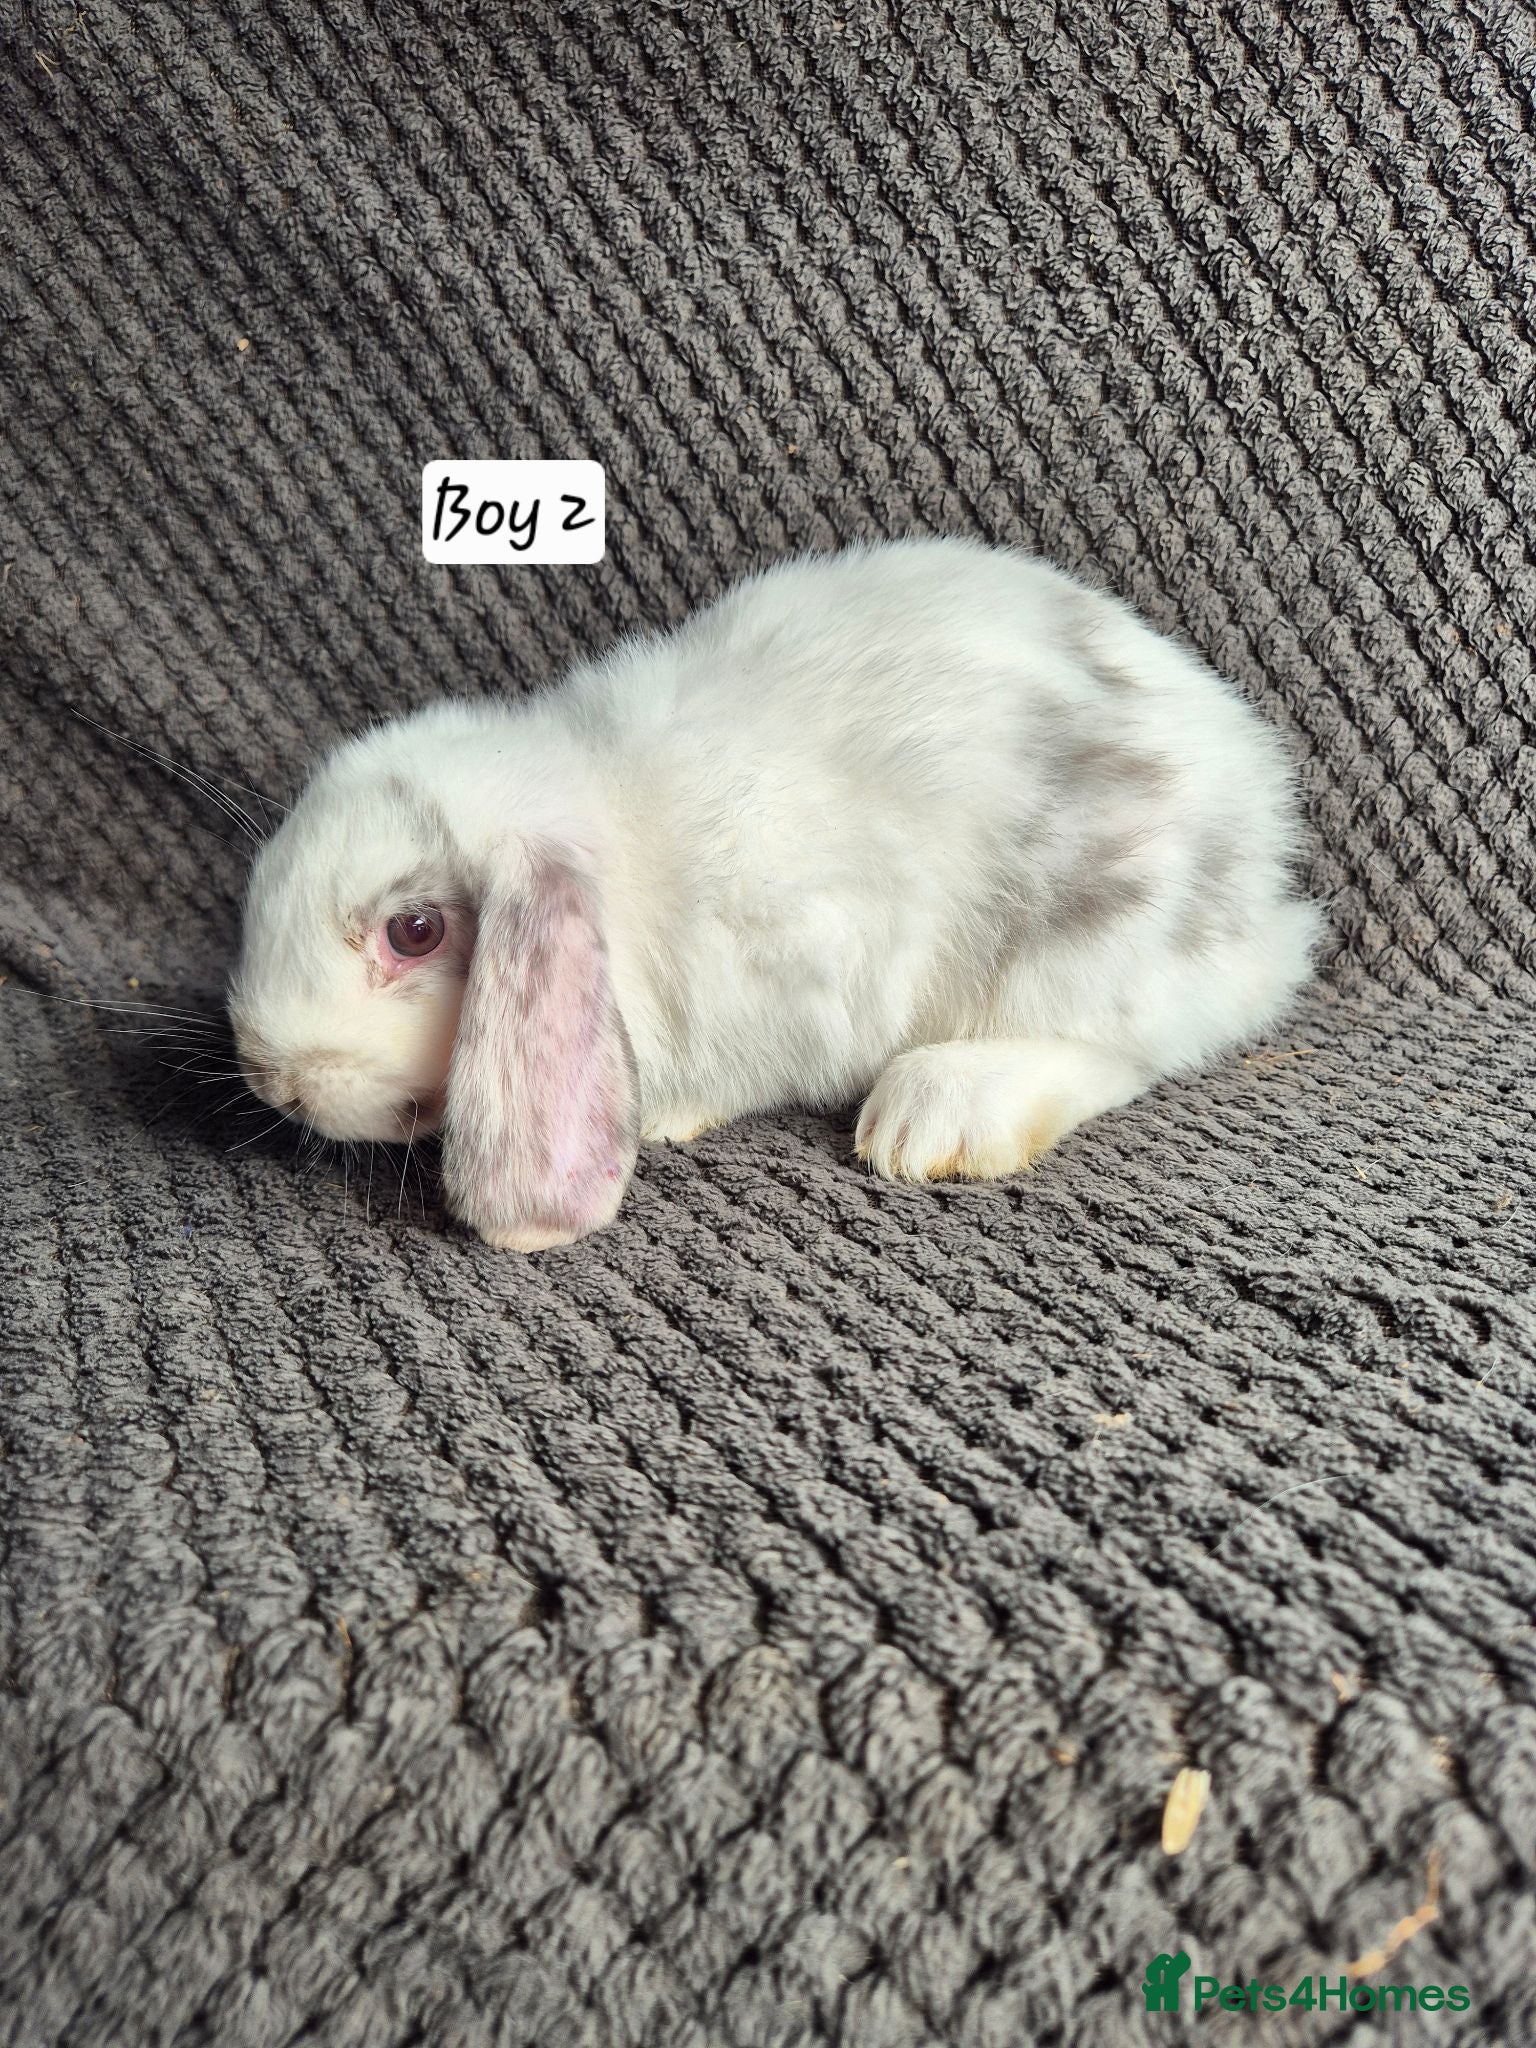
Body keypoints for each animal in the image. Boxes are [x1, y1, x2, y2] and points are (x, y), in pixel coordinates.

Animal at [228, 536, 1320, 1251]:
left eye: (414, 931)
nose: (271, 1077)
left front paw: (668, 1116)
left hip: (1087, 945)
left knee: (1137, 1046)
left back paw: (938, 1114)